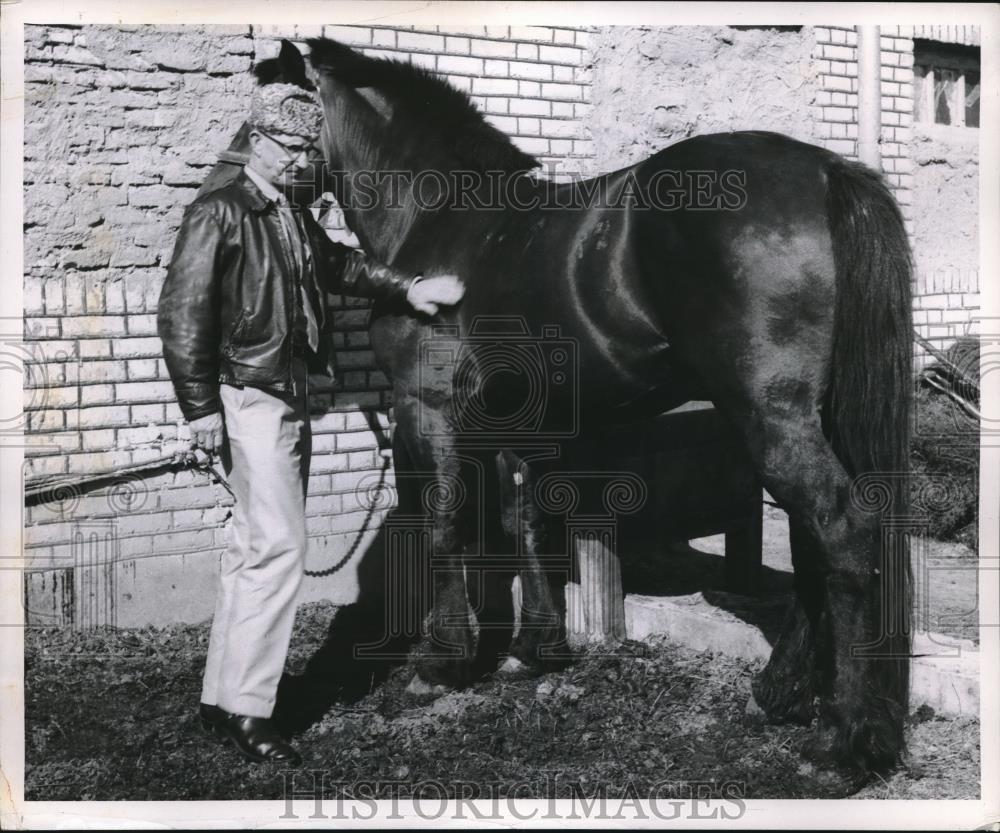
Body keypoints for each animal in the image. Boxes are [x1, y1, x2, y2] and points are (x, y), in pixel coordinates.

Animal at [209, 39, 916, 776]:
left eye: (268, 111)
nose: (228, 180)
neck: (443, 219)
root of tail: (824, 169)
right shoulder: (517, 421)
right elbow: (524, 522)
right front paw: (533, 649)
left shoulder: (426, 410)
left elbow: (444, 524)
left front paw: (439, 665)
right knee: (815, 543)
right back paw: (780, 694)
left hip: (770, 414)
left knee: (839, 530)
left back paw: (844, 739)